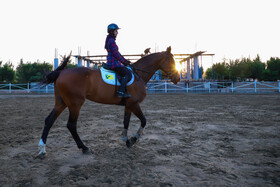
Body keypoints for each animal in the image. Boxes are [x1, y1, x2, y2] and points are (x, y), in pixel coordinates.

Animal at [37, 46, 180, 158]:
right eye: (171, 60)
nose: (177, 78)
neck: (138, 75)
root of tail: (61, 73)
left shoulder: (128, 105)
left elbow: (126, 122)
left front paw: (126, 140)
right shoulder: (134, 104)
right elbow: (144, 120)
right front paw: (133, 139)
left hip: (61, 103)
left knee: (49, 121)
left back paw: (42, 150)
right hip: (75, 104)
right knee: (71, 125)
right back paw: (84, 147)